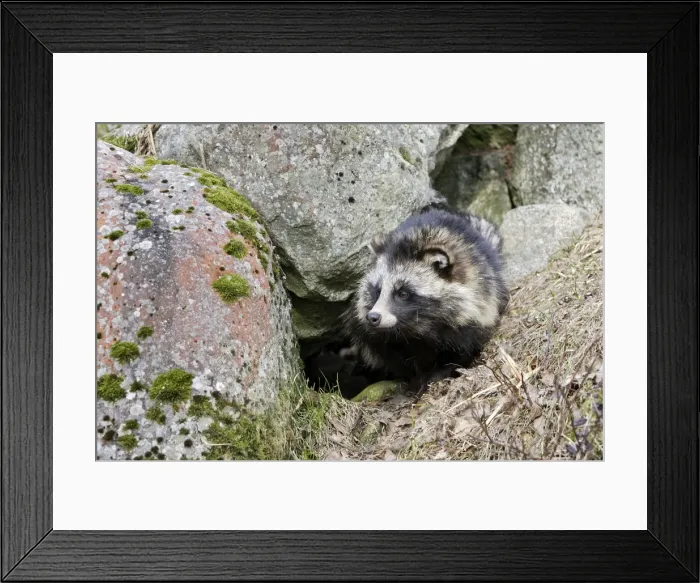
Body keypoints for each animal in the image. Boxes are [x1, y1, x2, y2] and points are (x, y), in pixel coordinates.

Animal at [342, 205, 509, 394]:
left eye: (403, 293)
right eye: (377, 291)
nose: (373, 317)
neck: (416, 328)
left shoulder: (477, 307)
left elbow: (464, 345)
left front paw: (441, 371)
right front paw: (415, 378)